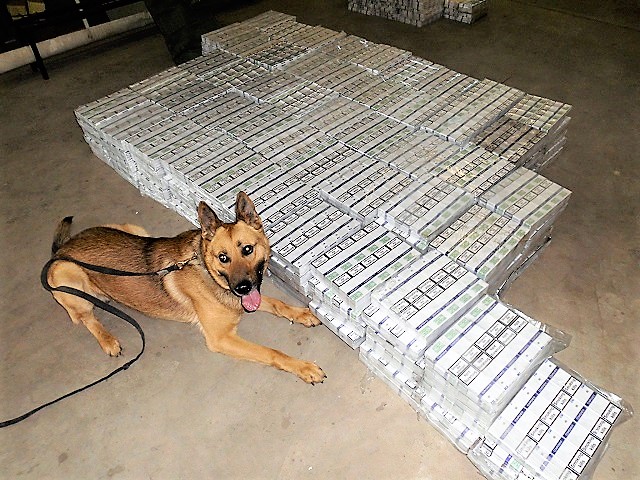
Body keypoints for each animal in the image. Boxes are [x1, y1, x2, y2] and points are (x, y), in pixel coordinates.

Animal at [46, 192, 326, 384]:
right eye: (223, 257)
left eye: (247, 249)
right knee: (85, 317)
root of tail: (63, 248)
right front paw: (303, 367)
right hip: (66, 274)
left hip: (134, 229)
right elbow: (271, 352)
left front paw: (302, 314)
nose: (242, 288)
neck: (208, 272)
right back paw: (108, 339)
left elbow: (277, 303)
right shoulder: (221, 338)